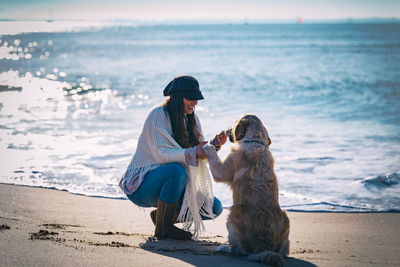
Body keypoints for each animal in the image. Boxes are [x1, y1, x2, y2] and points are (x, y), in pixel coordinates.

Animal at [205, 114, 290, 266]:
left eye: (233, 123)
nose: (226, 130)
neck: (255, 141)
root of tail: (264, 247)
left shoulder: (221, 171)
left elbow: (213, 156)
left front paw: (208, 145)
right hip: (286, 218)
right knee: (283, 251)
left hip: (231, 217)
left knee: (239, 250)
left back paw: (224, 247)